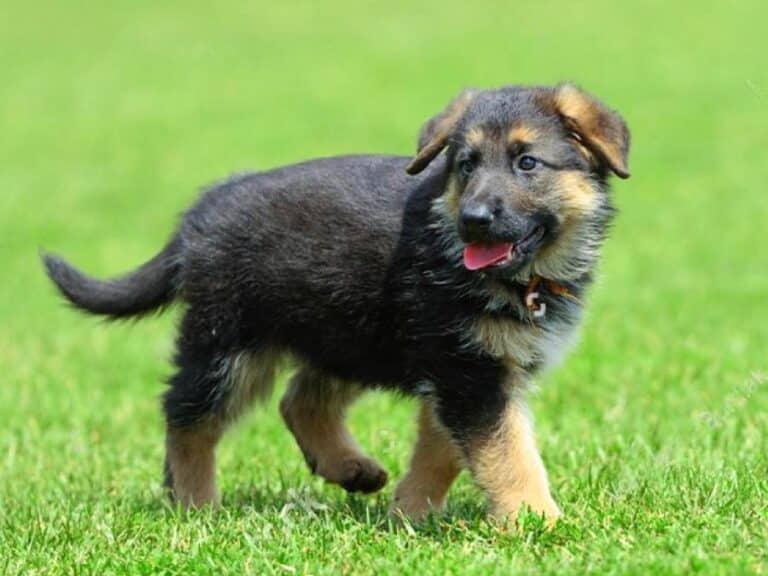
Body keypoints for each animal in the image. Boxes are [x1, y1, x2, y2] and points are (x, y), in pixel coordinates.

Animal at [43, 84, 632, 520]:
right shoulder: (469, 375)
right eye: (465, 165)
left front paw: (411, 513)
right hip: (229, 343)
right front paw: (537, 521)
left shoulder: (463, 371)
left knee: (301, 400)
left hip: (346, 329)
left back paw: (350, 468)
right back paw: (195, 502)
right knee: (187, 414)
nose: (474, 220)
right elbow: (507, 453)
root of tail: (206, 207)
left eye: (527, 163)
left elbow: (445, 448)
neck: (526, 278)